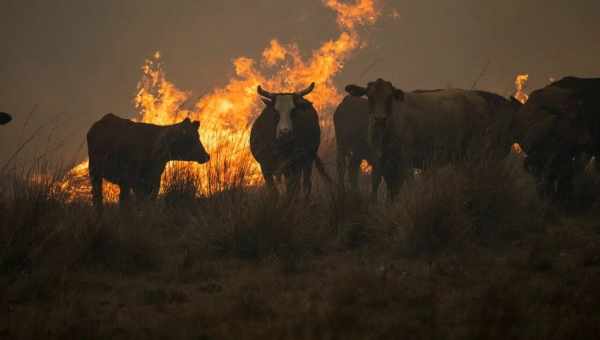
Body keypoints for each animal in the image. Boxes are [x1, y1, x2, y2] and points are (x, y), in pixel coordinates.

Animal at [346, 78, 520, 201]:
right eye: (370, 97)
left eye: (389, 97)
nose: (379, 119)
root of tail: (477, 98)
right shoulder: (382, 162)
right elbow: (386, 190)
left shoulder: (406, 160)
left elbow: (410, 186)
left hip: (476, 151)